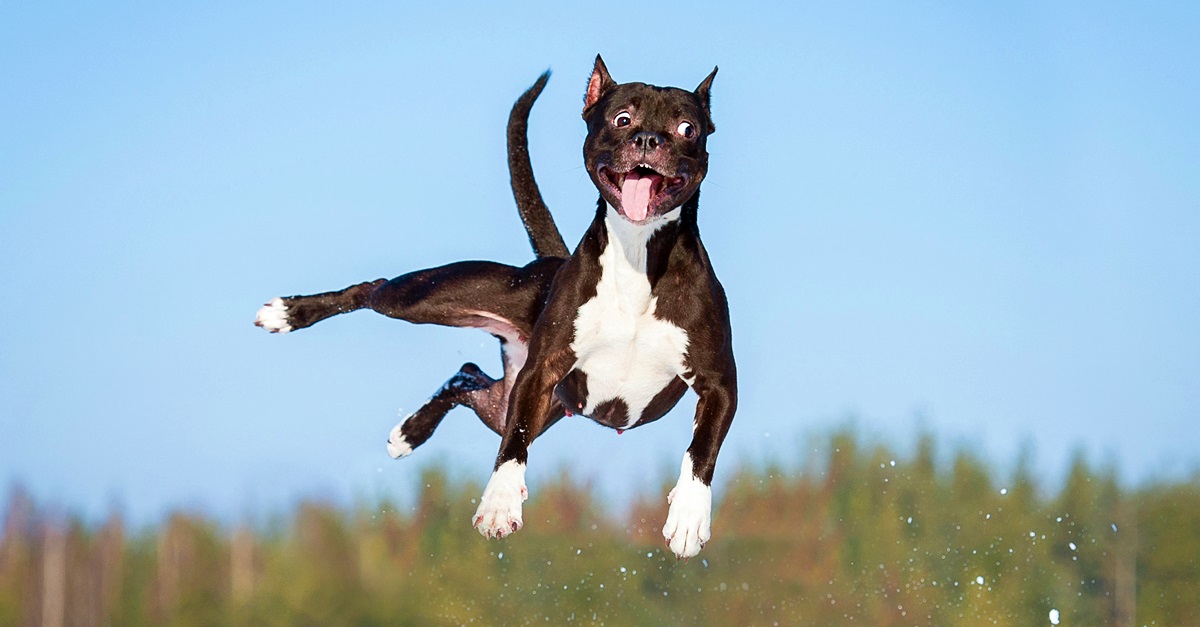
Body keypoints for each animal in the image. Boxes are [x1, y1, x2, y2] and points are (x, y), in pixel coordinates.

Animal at [258, 57, 734, 557]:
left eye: (687, 128)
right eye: (623, 118)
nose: (648, 140)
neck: (638, 253)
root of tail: (551, 262)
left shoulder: (719, 386)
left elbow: (702, 449)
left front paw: (688, 517)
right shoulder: (540, 373)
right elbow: (514, 445)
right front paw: (500, 504)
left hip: (508, 400)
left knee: (466, 374)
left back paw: (409, 432)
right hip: (427, 299)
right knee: (374, 289)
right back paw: (288, 314)